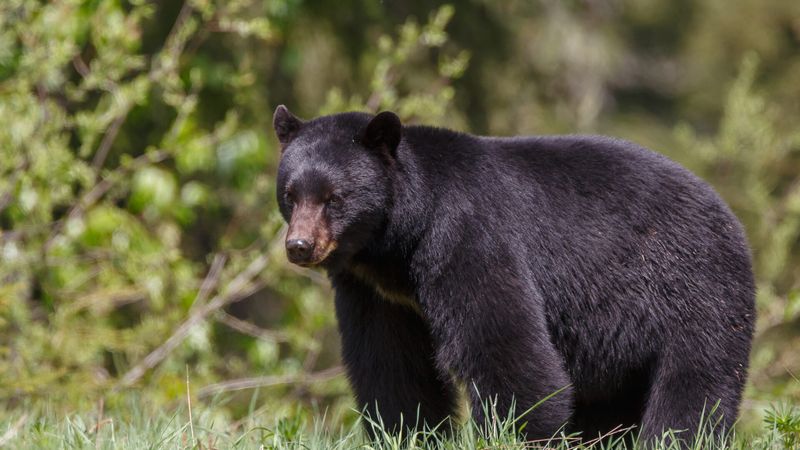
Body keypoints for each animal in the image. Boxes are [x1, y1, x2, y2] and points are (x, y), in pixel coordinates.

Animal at [274, 106, 756, 446]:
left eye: (335, 198)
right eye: (290, 194)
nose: (299, 246)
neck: (396, 246)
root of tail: (731, 217)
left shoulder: (469, 239)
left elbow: (503, 344)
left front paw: (518, 432)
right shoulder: (376, 292)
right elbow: (391, 362)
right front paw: (408, 433)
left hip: (694, 289)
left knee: (694, 384)